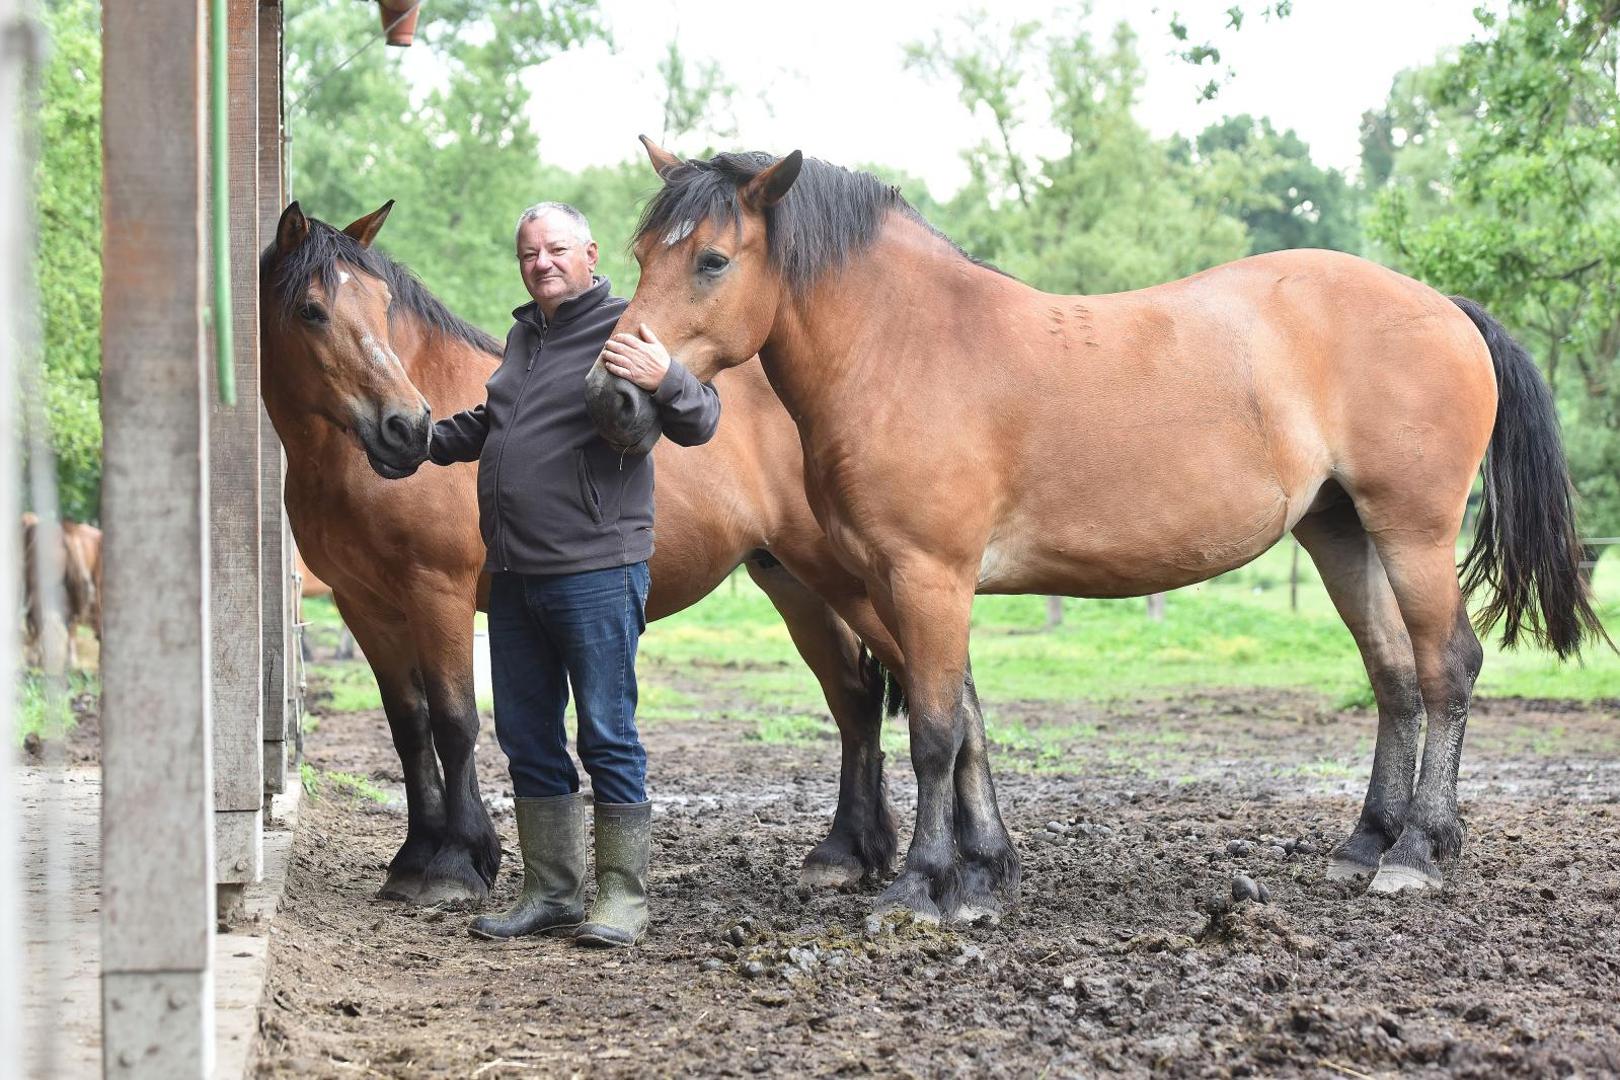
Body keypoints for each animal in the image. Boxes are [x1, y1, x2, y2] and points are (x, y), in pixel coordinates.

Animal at [259, 200, 907, 906]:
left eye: (381, 307)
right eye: (311, 310)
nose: (407, 428)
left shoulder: (437, 592)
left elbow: (455, 723)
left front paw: (455, 865)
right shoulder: (366, 607)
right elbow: (409, 727)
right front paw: (413, 859)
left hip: (864, 586)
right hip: (796, 585)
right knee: (855, 699)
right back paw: (847, 854)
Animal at [586, 139, 1607, 926]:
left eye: (712, 260)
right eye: (639, 252)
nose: (613, 392)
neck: (910, 347)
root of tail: (1445, 308)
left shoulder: (928, 576)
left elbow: (934, 732)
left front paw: (921, 888)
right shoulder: (893, 583)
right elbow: (966, 722)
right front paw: (982, 879)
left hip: (1412, 532)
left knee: (1446, 670)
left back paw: (1419, 853)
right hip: (1340, 535)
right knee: (1394, 676)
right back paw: (1365, 842)